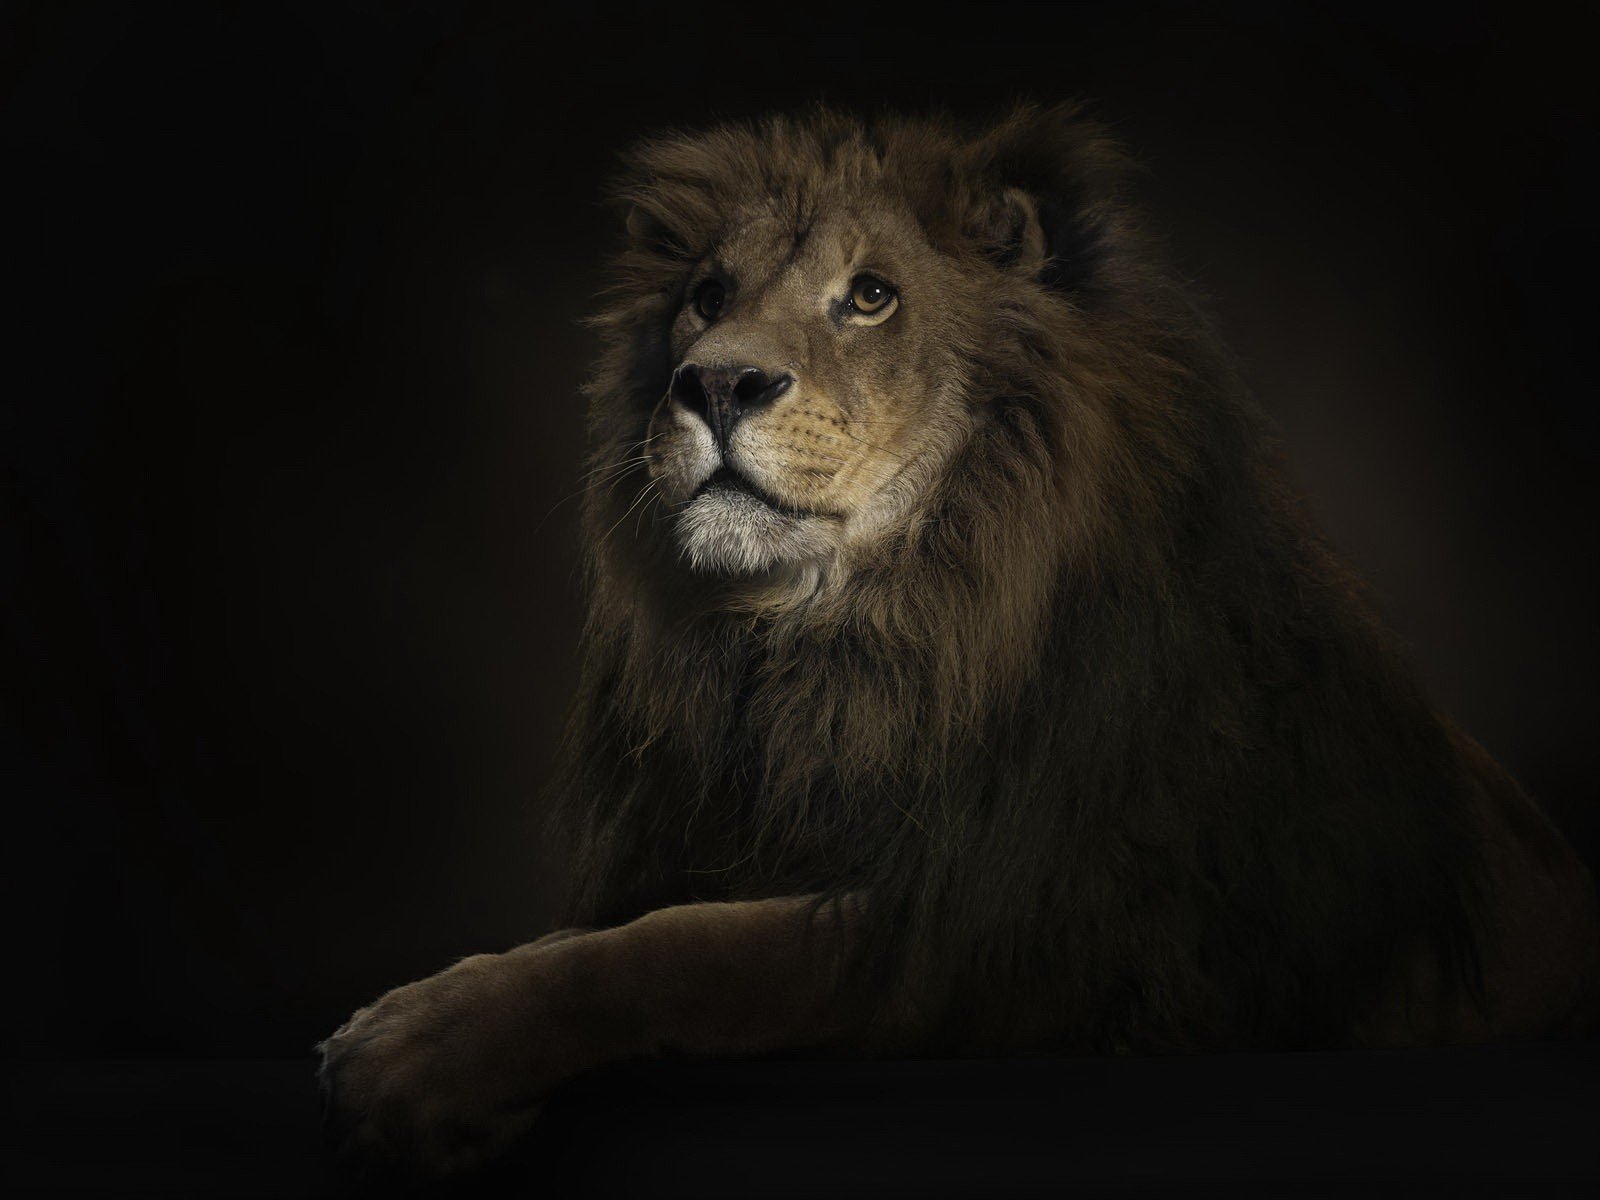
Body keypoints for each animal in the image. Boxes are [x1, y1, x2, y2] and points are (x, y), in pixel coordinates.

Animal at [318, 104, 1600, 1176]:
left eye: (871, 296)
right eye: (707, 292)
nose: (713, 383)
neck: (852, 641)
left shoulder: (1008, 931)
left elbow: (684, 949)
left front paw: (416, 1047)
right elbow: (631, 925)